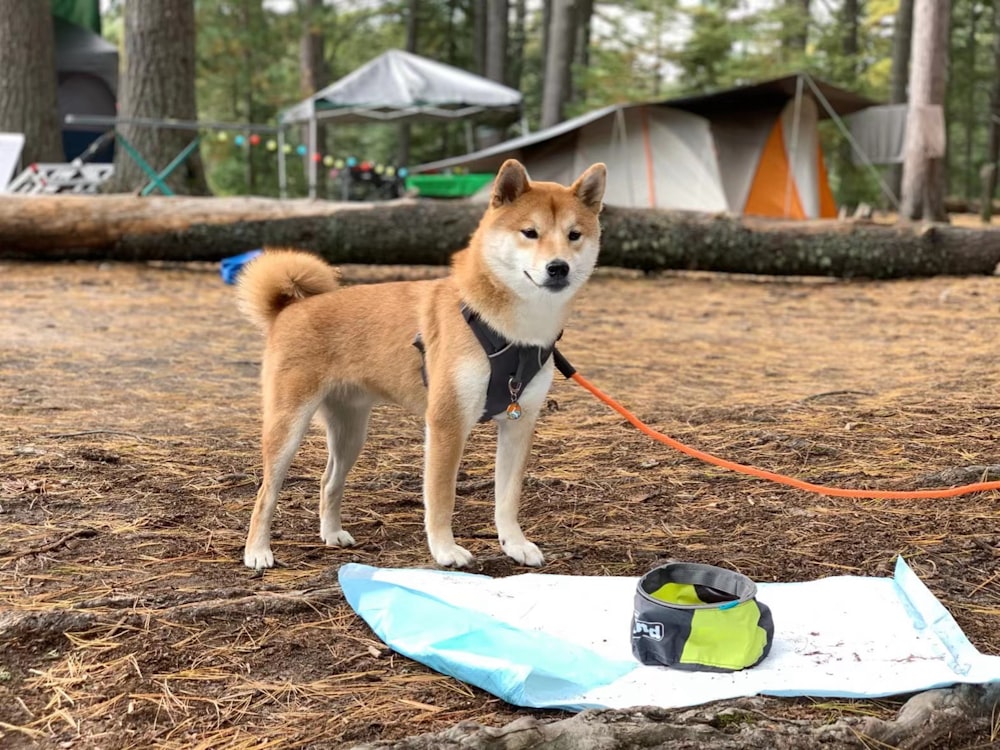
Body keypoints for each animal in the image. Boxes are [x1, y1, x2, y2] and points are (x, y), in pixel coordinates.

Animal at [238, 159, 604, 568]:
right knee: (266, 494)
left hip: (351, 432)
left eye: (574, 235)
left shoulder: (518, 423)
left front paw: (515, 544)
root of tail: (289, 308)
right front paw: (445, 550)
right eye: (530, 232)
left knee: (328, 481)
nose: (559, 267)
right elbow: (441, 498)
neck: (511, 331)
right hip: (288, 427)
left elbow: (507, 499)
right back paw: (257, 551)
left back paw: (332, 534)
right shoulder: (447, 423)